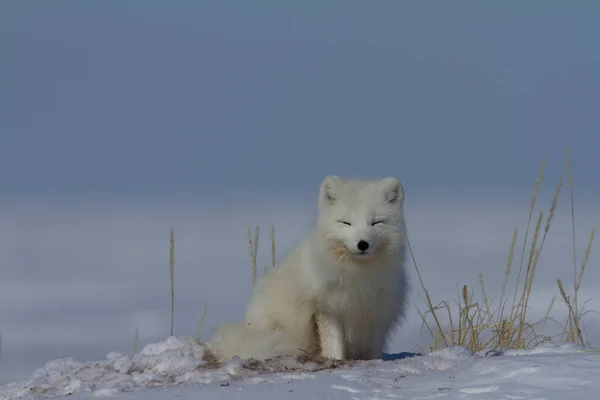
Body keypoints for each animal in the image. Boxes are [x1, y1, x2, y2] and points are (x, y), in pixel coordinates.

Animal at [209, 177, 410, 360]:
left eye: (376, 222)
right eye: (346, 222)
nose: (362, 244)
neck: (358, 276)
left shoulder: (377, 312)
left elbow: (374, 348)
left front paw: (375, 361)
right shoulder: (327, 308)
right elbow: (334, 343)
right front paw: (335, 360)